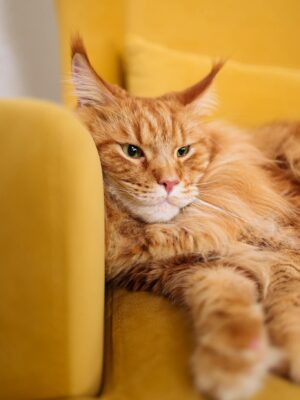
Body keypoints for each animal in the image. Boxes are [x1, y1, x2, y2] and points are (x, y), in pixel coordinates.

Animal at [71, 39, 300, 400]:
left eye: (183, 151)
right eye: (131, 151)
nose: (169, 183)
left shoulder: (285, 248)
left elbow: (288, 303)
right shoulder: (195, 269)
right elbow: (224, 304)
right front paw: (230, 366)